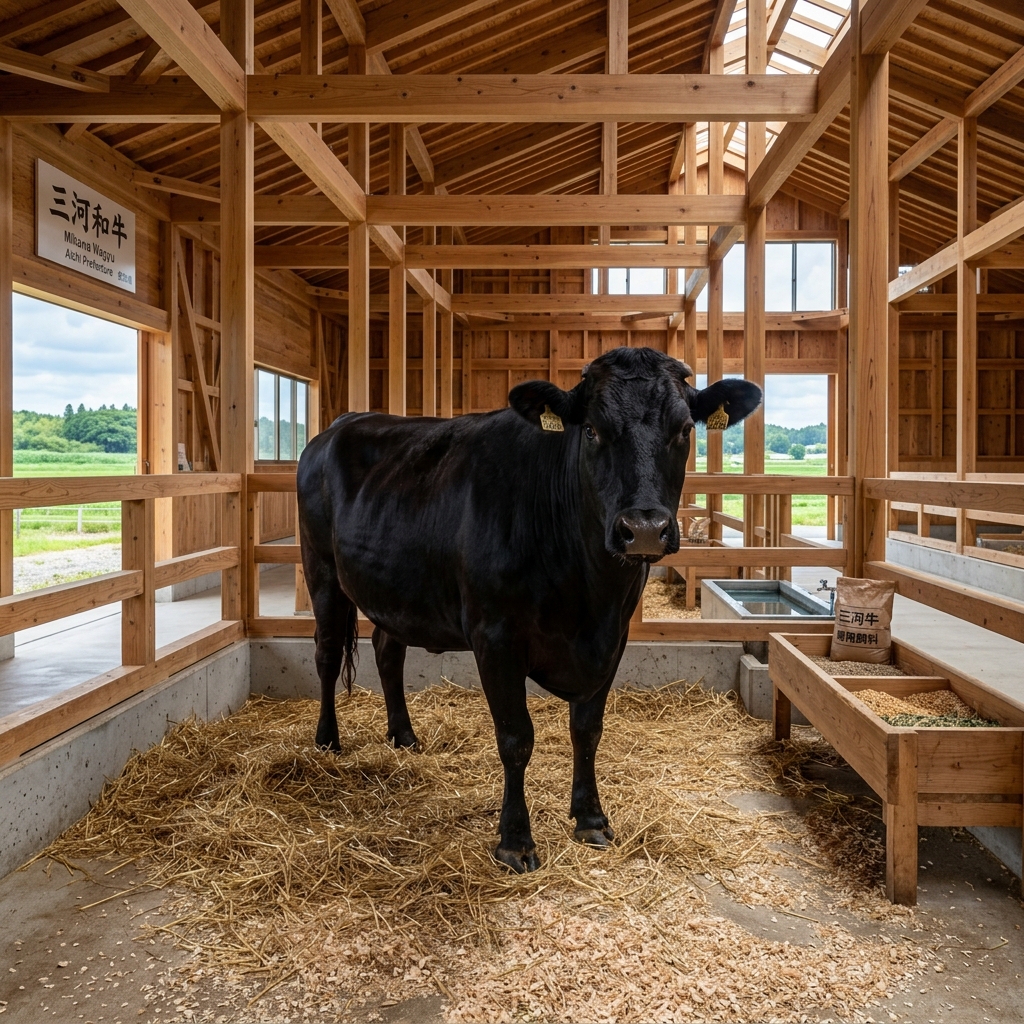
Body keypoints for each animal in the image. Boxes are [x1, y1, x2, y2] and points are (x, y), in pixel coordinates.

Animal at [297, 346, 761, 873]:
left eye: (684, 429)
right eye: (591, 429)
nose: (643, 529)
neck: (589, 596)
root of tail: (342, 423)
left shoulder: (614, 639)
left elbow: (587, 730)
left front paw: (590, 819)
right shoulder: (495, 637)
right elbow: (516, 738)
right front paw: (515, 841)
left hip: (395, 589)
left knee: (386, 649)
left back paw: (404, 736)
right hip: (321, 570)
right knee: (327, 653)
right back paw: (327, 741)